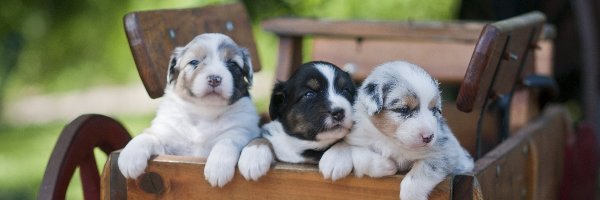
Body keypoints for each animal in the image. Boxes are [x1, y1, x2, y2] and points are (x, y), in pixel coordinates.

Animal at [116, 33, 258, 188]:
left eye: (233, 64)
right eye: (194, 62)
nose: (214, 79)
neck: (204, 112)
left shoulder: (241, 130)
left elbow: (227, 140)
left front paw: (218, 167)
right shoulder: (170, 143)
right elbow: (148, 136)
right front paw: (130, 157)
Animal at [318, 61, 474, 200]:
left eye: (435, 110)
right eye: (403, 109)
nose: (428, 137)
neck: (391, 140)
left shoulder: (447, 152)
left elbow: (422, 172)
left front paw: (411, 196)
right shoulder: (359, 138)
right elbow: (359, 155)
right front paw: (388, 166)